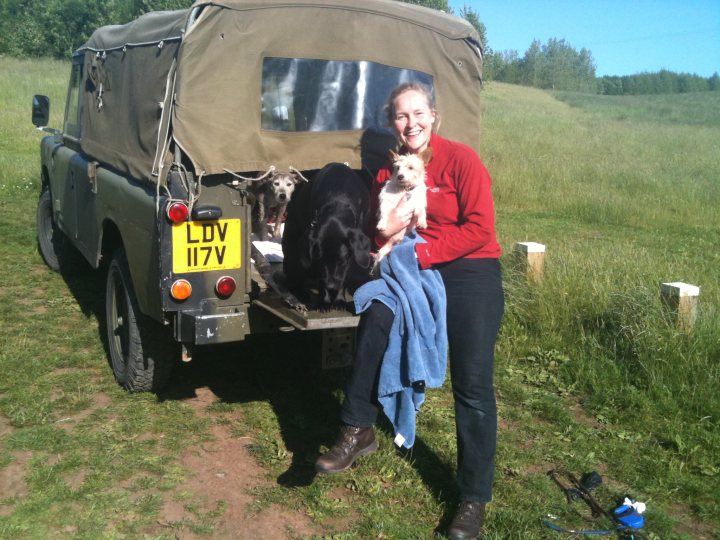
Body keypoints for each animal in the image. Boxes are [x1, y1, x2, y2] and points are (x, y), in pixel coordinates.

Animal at [282, 162, 372, 310]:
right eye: (320, 260)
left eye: (341, 261)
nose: (331, 286)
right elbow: (321, 279)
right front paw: (324, 301)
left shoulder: (350, 256)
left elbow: (343, 277)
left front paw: (339, 300)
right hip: (293, 254)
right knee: (293, 280)